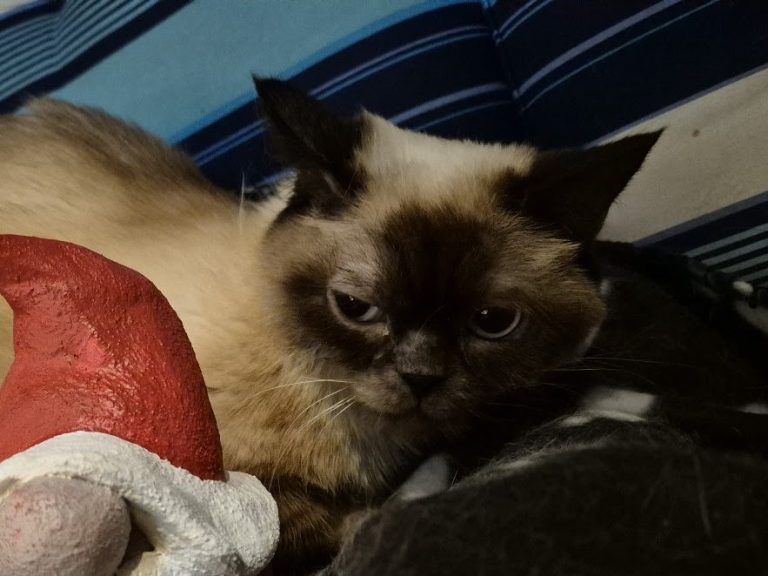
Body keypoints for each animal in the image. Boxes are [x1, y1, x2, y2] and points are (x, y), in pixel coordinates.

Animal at [0, 78, 660, 572]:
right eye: (355, 307)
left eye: (493, 322)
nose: (421, 377)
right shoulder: (211, 474)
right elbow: (316, 520)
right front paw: (381, 513)